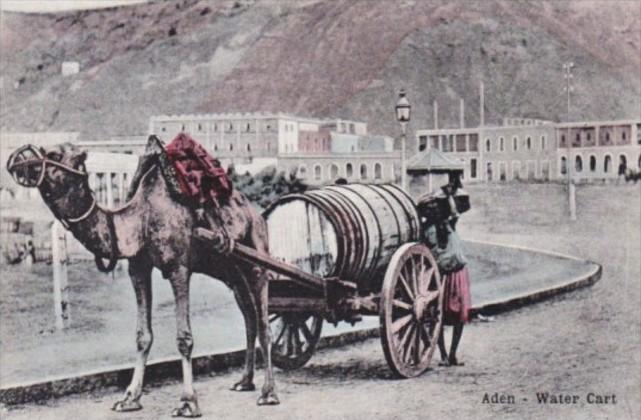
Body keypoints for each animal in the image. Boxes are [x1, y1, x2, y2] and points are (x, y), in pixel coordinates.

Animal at [6, 142, 278, 416]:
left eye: (53, 155)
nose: (16, 161)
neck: (140, 219)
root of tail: (257, 213)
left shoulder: (179, 268)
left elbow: (184, 338)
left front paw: (188, 402)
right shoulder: (137, 268)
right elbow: (142, 336)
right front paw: (129, 398)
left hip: (257, 253)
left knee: (263, 320)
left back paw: (268, 393)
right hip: (230, 271)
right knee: (250, 318)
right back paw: (244, 382)